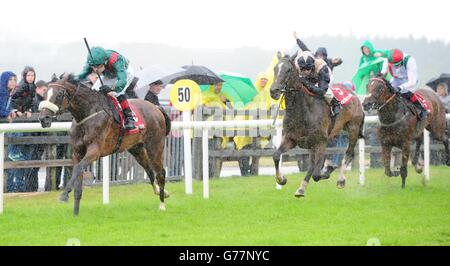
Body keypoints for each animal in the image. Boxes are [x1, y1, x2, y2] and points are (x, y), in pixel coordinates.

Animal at [37, 74, 169, 215]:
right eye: (44, 94)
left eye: (59, 95)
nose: (43, 118)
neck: (87, 114)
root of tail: (156, 108)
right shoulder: (77, 153)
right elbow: (78, 181)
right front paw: (75, 213)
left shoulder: (94, 151)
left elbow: (78, 169)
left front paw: (64, 195)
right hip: (136, 149)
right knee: (149, 170)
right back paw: (160, 192)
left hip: (155, 146)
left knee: (160, 172)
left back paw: (162, 205)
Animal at [270, 53, 366, 197]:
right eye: (275, 69)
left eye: (288, 70)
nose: (273, 91)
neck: (303, 111)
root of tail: (354, 95)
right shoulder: (291, 139)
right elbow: (276, 155)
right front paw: (281, 179)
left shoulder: (320, 141)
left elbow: (316, 174)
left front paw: (326, 171)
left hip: (353, 127)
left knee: (349, 153)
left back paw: (340, 180)